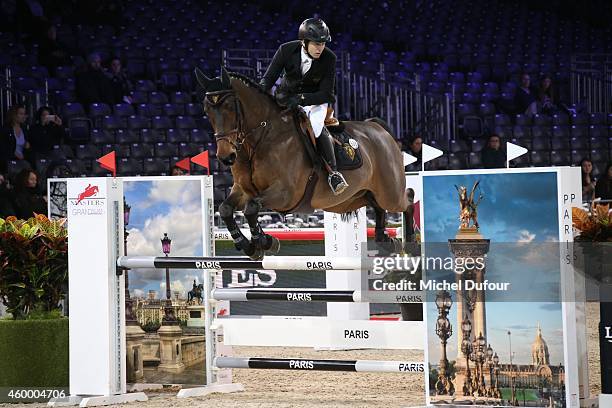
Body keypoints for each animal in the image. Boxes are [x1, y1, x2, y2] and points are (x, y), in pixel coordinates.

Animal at [196, 66, 416, 258]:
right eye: (206, 110)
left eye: (229, 107)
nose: (226, 157)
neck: (259, 140)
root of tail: (379, 129)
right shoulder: (243, 189)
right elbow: (226, 209)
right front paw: (250, 245)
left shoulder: (286, 193)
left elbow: (251, 207)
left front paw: (264, 242)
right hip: (354, 198)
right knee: (379, 207)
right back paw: (384, 239)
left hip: (389, 193)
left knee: (407, 199)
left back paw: (411, 242)